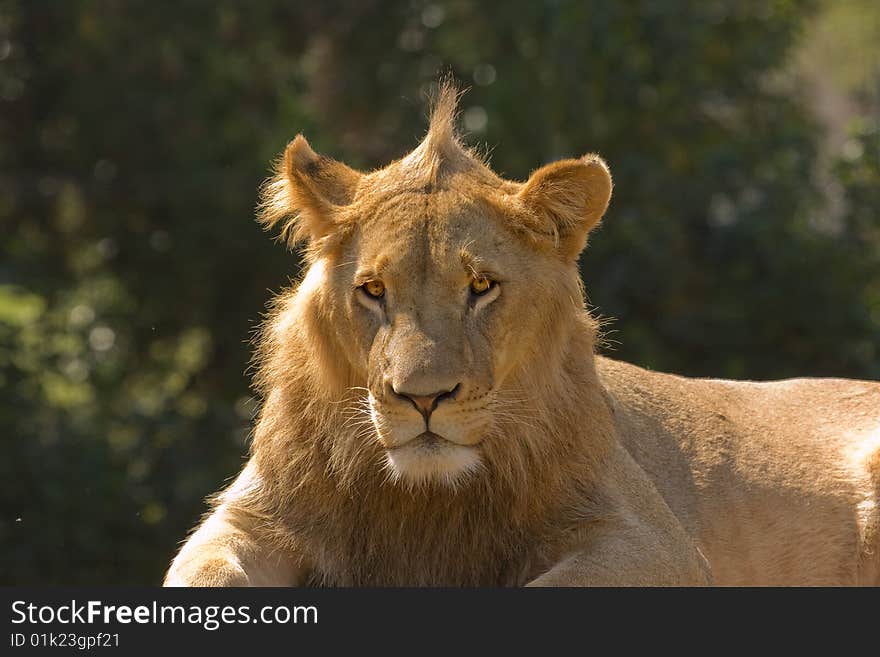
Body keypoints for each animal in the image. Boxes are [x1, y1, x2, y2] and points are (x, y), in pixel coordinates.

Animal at [165, 86, 880, 584]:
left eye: (482, 286)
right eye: (373, 291)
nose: (423, 399)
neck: (424, 500)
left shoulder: (652, 541)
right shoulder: (247, 518)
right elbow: (203, 574)